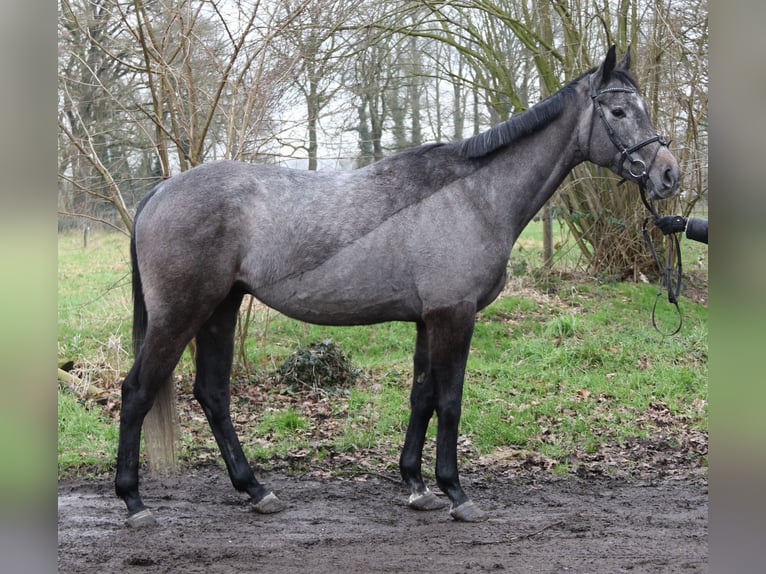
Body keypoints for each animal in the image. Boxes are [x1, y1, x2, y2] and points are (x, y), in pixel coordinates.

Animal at [114, 46, 680, 532]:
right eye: (619, 111)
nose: (668, 176)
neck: (473, 196)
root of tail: (161, 191)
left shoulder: (427, 320)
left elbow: (421, 396)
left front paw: (417, 486)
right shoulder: (454, 315)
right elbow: (450, 399)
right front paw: (456, 493)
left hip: (220, 309)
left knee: (212, 393)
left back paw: (255, 490)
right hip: (180, 314)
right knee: (138, 390)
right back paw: (134, 501)